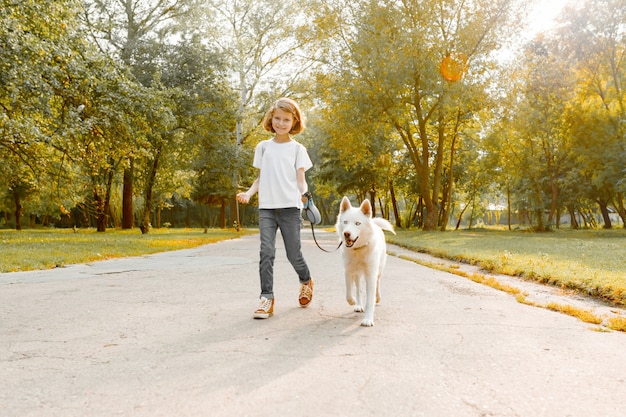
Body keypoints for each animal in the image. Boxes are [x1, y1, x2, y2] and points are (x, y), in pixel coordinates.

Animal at [334, 195, 392, 324]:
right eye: (345, 222)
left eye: (357, 223)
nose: (346, 233)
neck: (358, 249)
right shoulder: (348, 271)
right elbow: (349, 293)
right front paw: (353, 302)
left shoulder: (371, 274)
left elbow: (370, 299)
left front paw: (368, 319)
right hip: (357, 274)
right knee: (358, 289)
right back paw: (358, 304)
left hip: (379, 270)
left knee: (377, 283)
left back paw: (377, 297)